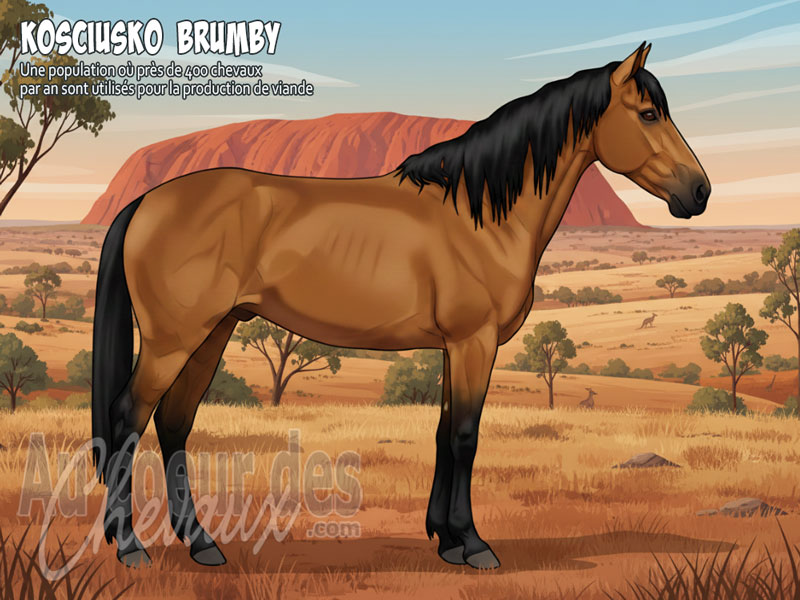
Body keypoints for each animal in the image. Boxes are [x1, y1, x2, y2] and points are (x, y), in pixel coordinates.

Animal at [92, 42, 710, 570]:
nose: (699, 192)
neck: (479, 214)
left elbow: (443, 432)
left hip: (213, 332)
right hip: (174, 340)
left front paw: (446, 539)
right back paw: (131, 547)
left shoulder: (455, 347)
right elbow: (465, 436)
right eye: (648, 113)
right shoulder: (473, 342)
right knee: (128, 419)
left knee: (174, 422)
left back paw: (201, 545)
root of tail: (146, 201)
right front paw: (475, 546)